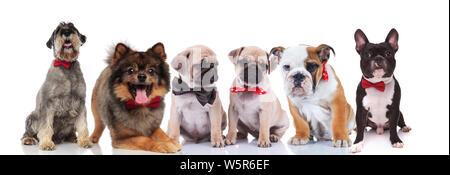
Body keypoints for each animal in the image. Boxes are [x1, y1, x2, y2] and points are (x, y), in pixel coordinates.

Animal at [21, 21, 92, 150]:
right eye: (58, 30)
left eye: (73, 28)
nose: (67, 32)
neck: (67, 65)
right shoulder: (48, 103)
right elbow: (46, 126)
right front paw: (46, 143)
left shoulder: (80, 102)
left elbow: (82, 124)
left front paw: (84, 140)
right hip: (32, 117)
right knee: (29, 132)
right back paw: (28, 139)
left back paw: (72, 137)